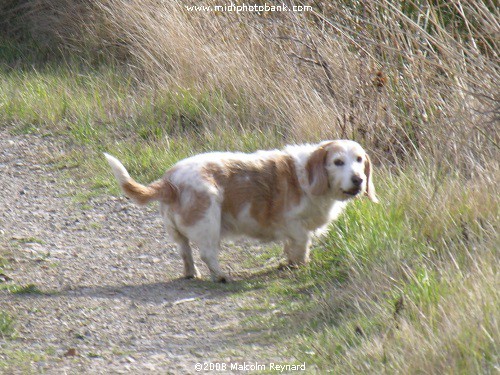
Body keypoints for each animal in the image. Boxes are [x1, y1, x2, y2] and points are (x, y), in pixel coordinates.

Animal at [106, 140, 378, 282]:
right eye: (337, 162)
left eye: (359, 160)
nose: (358, 180)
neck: (305, 177)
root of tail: (169, 180)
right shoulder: (294, 226)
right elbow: (301, 246)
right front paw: (300, 265)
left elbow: (291, 248)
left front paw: (289, 264)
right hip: (209, 223)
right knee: (207, 254)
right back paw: (221, 277)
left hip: (177, 234)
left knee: (186, 254)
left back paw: (192, 274)